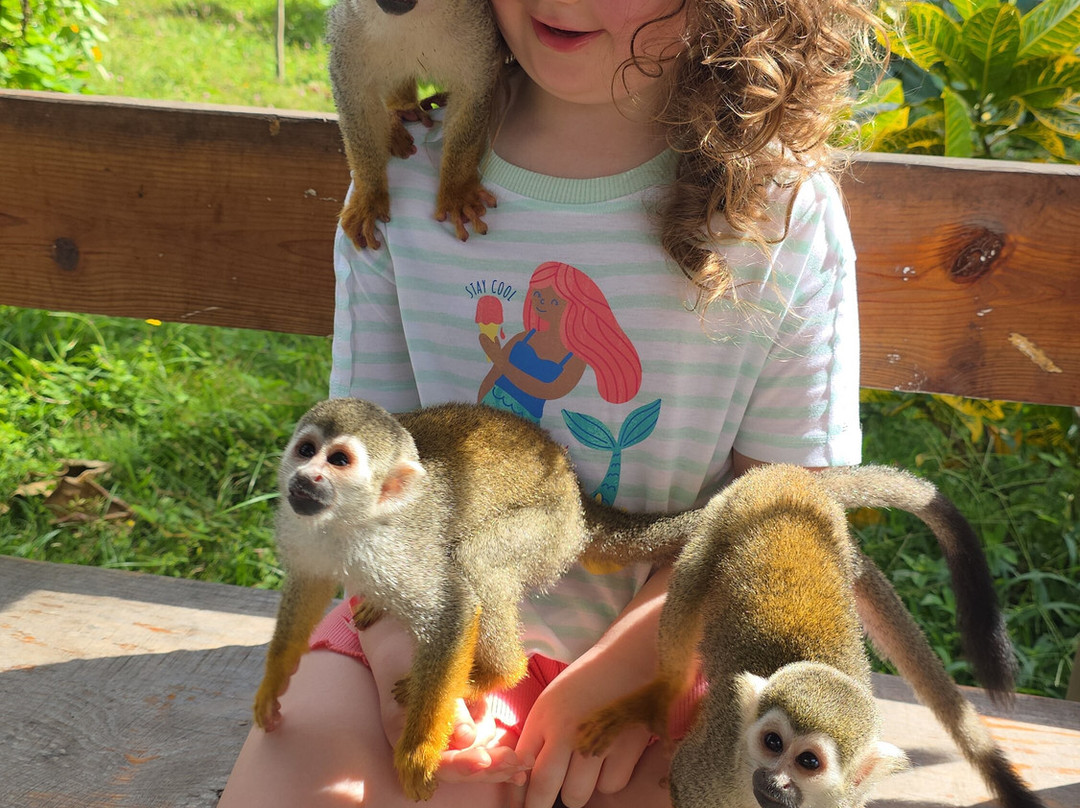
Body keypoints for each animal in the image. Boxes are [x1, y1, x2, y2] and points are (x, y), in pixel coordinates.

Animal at [252, 398, 700, 801]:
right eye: (306, 450)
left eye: (339, 460)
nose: (306, 477)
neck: (350, 524)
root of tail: (576, 493)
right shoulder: (302, 527)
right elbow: (308, 585)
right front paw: (274, 681)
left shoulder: (400, 550)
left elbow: (454, 611)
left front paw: (418, 752)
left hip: (548, 529)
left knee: (475, 560)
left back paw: (498, 674)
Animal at [326, 0, 503, 250]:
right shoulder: (348, 28)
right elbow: (355, 102)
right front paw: (370, 195)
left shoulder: (477, 27)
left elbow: (473, 94)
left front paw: (456, 188)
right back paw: (401, 110)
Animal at [575, 464, 1045, 808]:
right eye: (772, 742)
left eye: (808, 762)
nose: (774, 779)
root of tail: (791, 474)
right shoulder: (710, 764)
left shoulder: (846, 800)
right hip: (718, 524)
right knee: (689, 589)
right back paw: (665, 686)